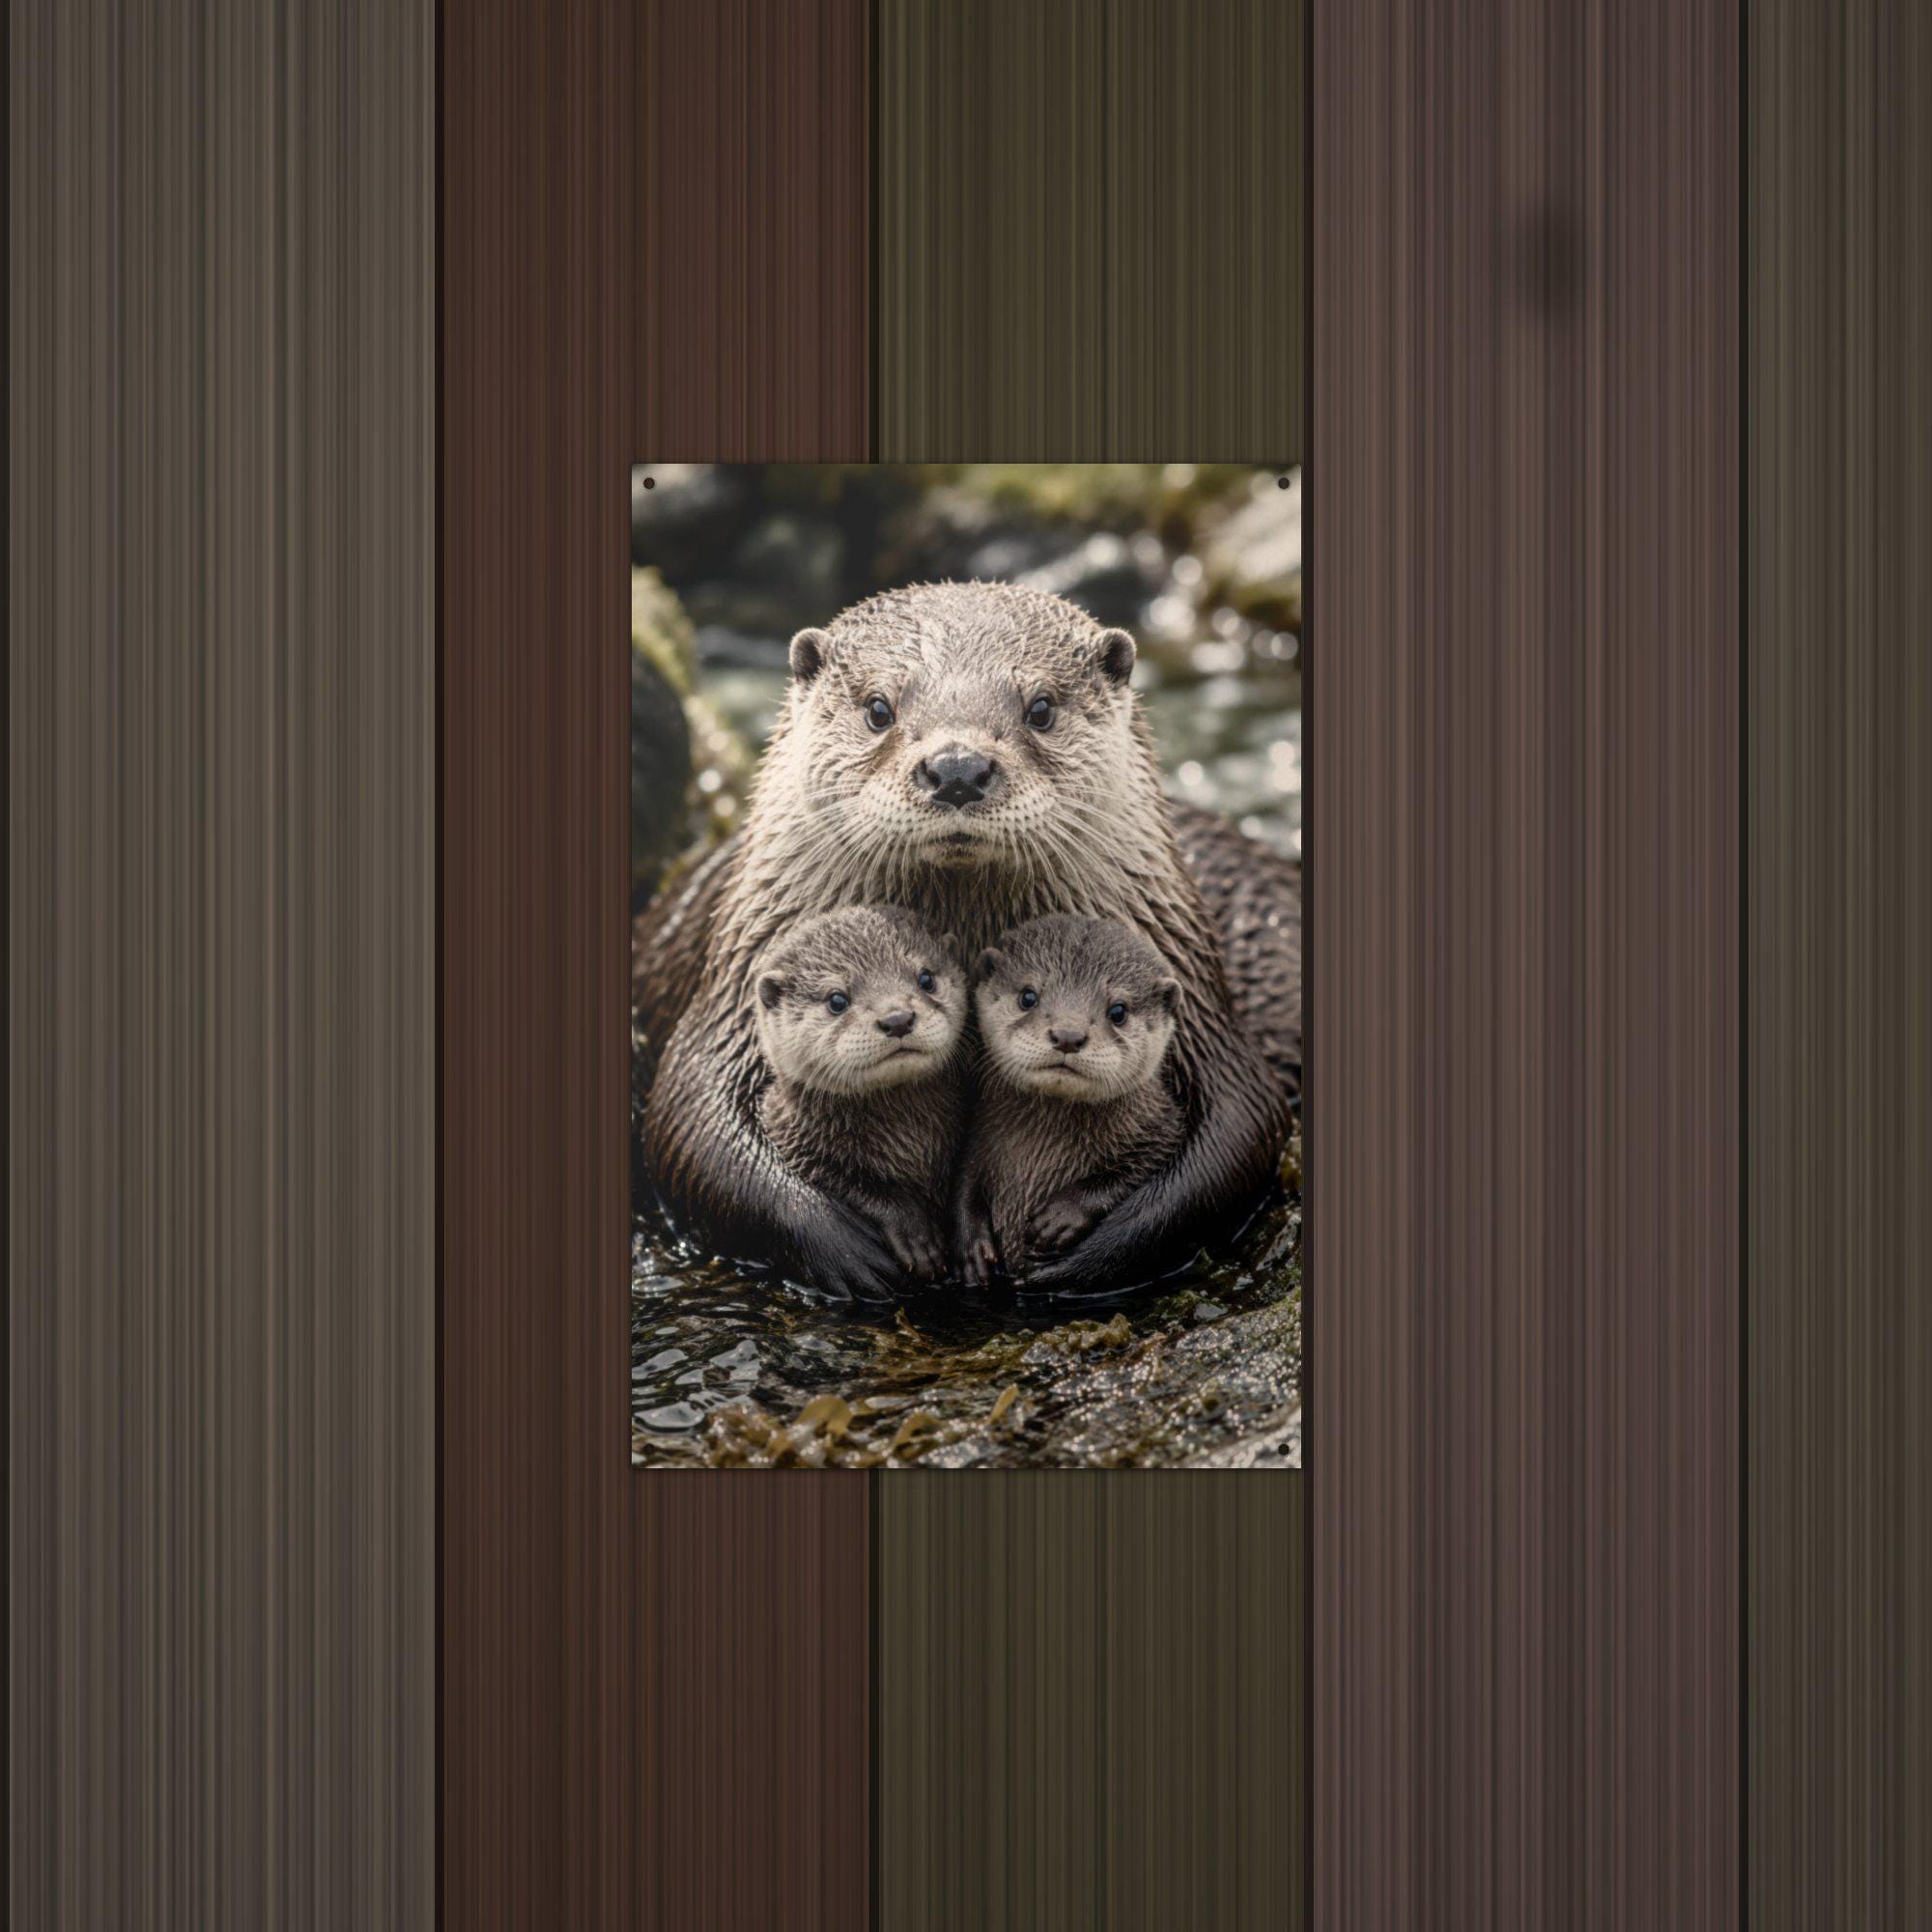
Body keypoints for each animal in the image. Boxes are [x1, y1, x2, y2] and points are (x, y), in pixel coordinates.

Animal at [753, 907, 965, 1281]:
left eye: (926, 979)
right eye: (837, 999)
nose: (897, 1018)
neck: (908, 1140)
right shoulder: (795, 1142)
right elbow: (856, 1186)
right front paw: (916, 1235)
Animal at [954, 917, 1186, 1285]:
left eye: (1118, 1011)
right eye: (1028, 996)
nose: (1067, 1035)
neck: (1043, 1147)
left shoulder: (1164, 1126)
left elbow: (1135, 1169)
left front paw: (1062, 1216)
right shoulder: (977, 1134)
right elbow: (964, 1182)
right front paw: (972, 1245)